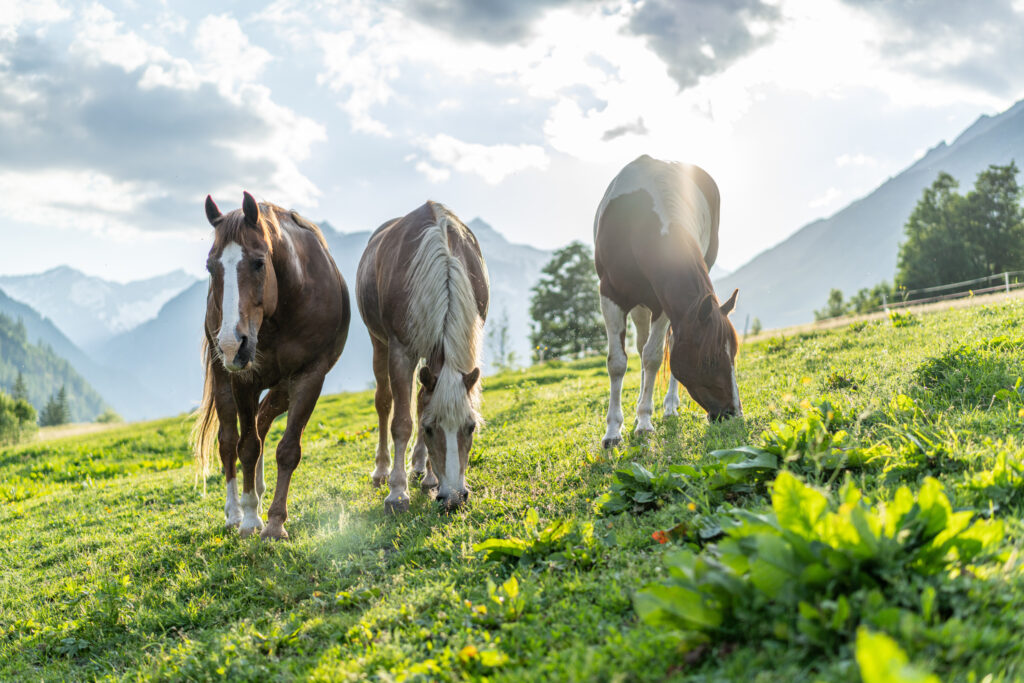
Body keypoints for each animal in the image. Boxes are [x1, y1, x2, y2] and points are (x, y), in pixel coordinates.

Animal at [191, 192, 351, 540]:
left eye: (258, 263)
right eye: (210, 267)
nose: (230, 344)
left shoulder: (309, 377)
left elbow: (288, 449)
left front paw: (276, 522)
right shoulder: (244, 380)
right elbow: (246, 446)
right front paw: (251, 519)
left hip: (282, 387)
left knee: (263, 420)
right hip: (226, 377)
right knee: (228, 441)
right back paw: (235, 512)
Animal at [356, 201, 488, 512]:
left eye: (471, 427)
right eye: (429, 430)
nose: (454, 498)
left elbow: (422, 403)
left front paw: (430, 477)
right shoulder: (401, 351)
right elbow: (402, 423)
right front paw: (397, 492)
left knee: (418, 397)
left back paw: (420, 468)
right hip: (379, 344)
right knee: (384, 402)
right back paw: (382, 470)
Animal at [593, 155, 740, 448]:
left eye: (734, 355)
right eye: (709, 360)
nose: (733, 413)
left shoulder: (664, 305)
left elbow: (653, 357)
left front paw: (645, 422)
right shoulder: (610, 295)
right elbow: (617, 362)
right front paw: (614, 430)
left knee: (665, 345)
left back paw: (669, 405)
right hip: (639, 306)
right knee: (641, 345)